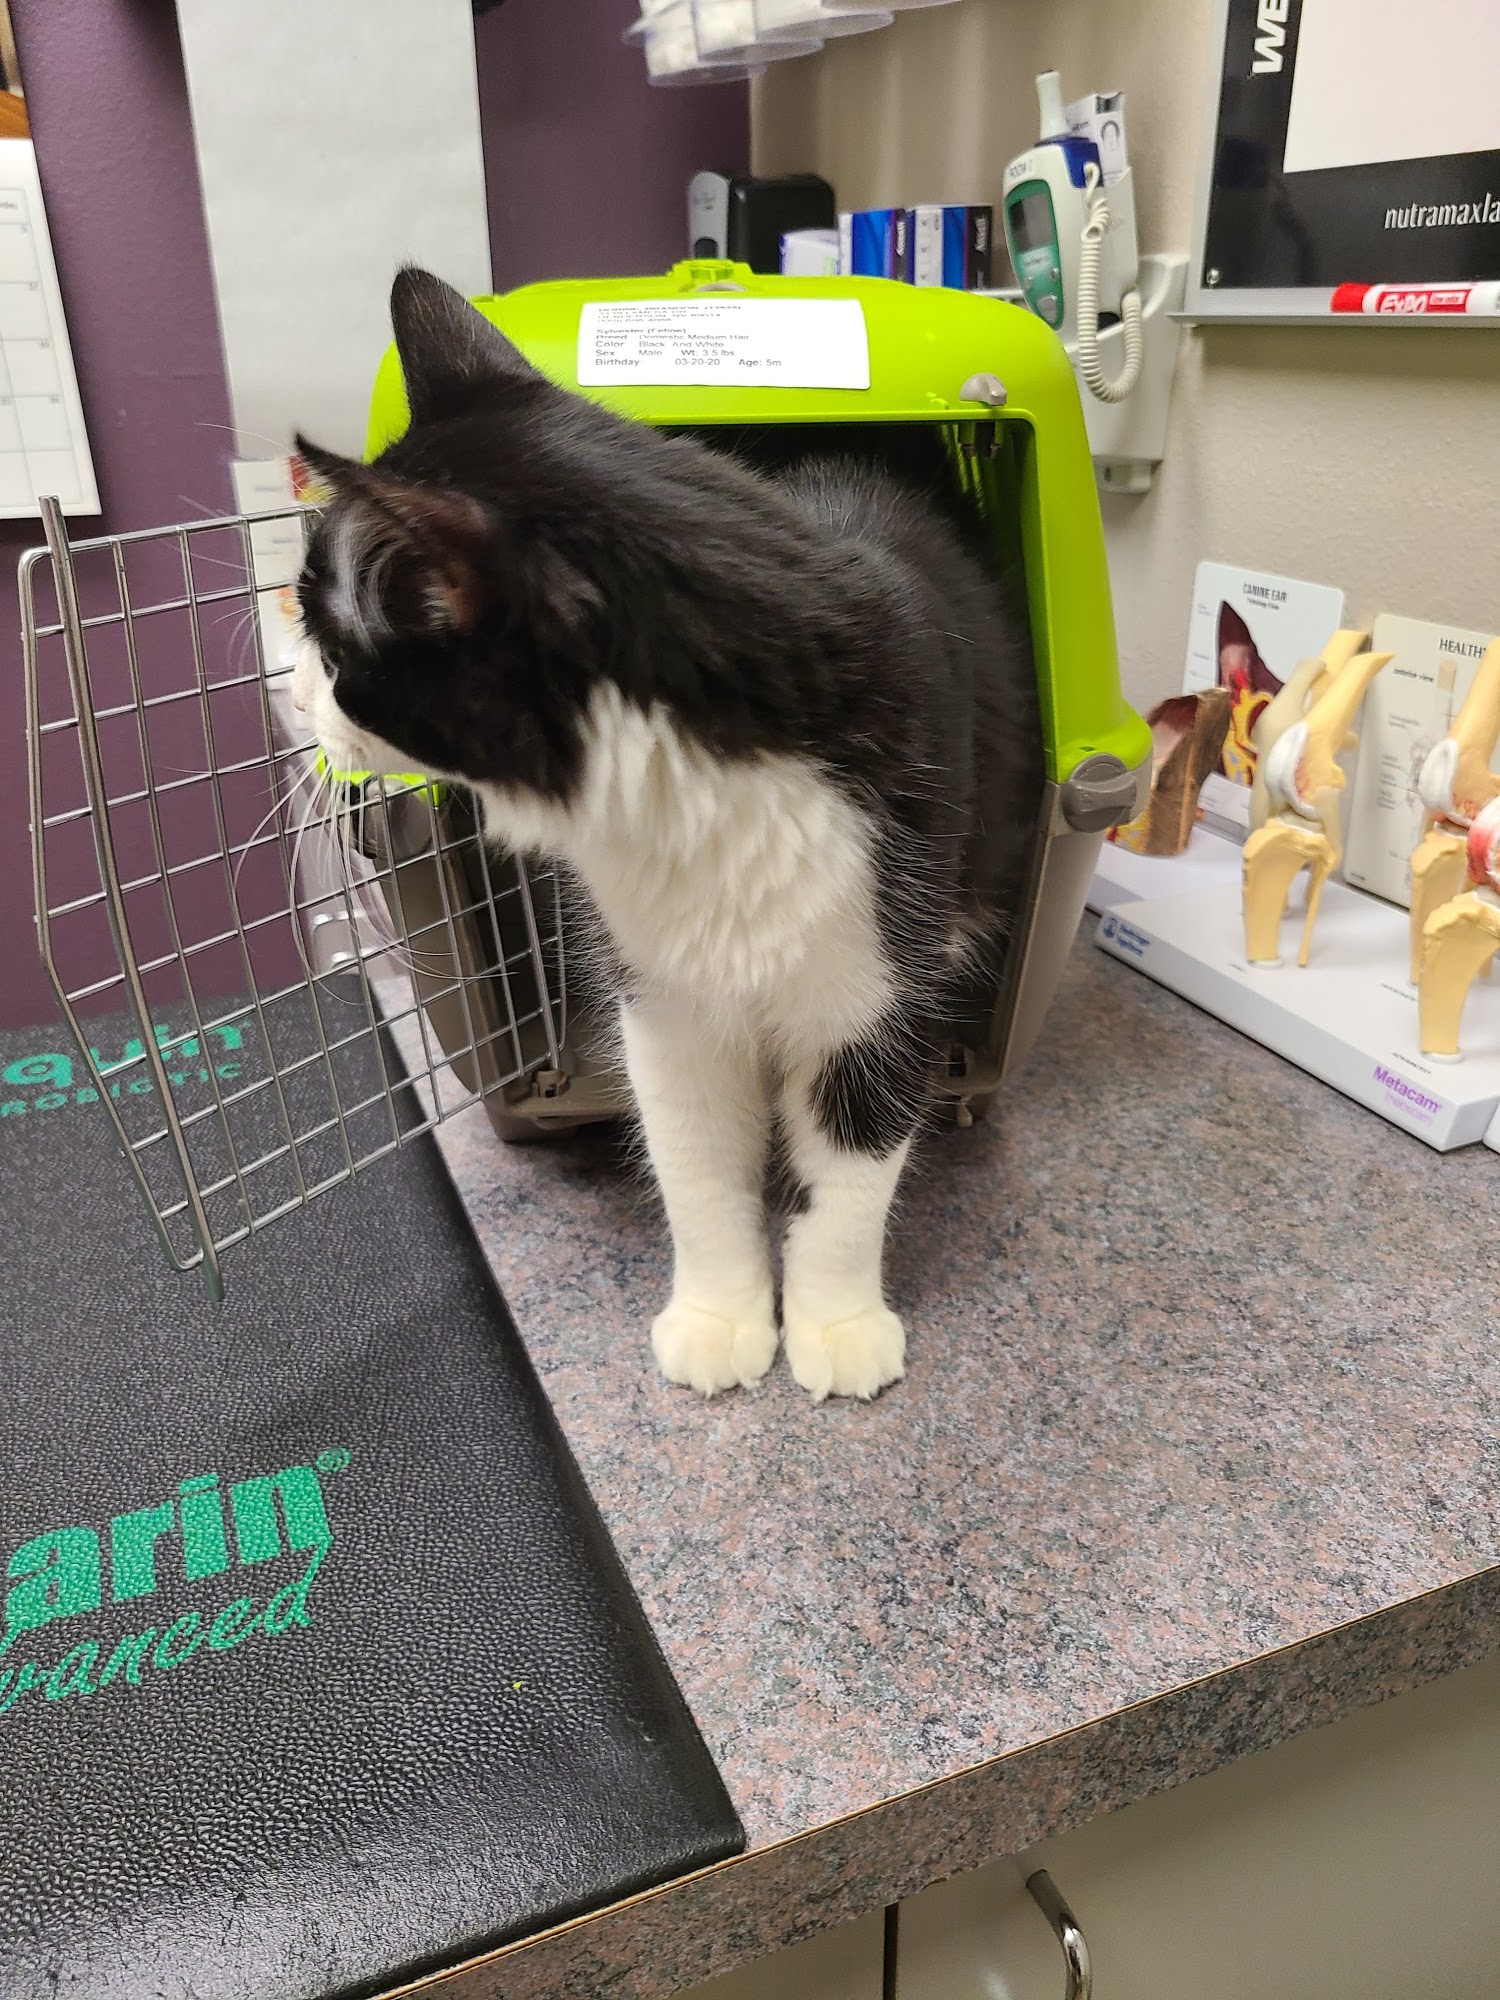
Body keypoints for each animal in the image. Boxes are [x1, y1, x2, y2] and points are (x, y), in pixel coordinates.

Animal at [293, 267, 1041, 1402]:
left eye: (334, 649)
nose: (295, 697)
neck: (703, 787)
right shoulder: (662, 994)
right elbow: (693, 1161)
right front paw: (722, 1315)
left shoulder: (879, 978)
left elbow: (854, 1165)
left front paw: (835, 1321)